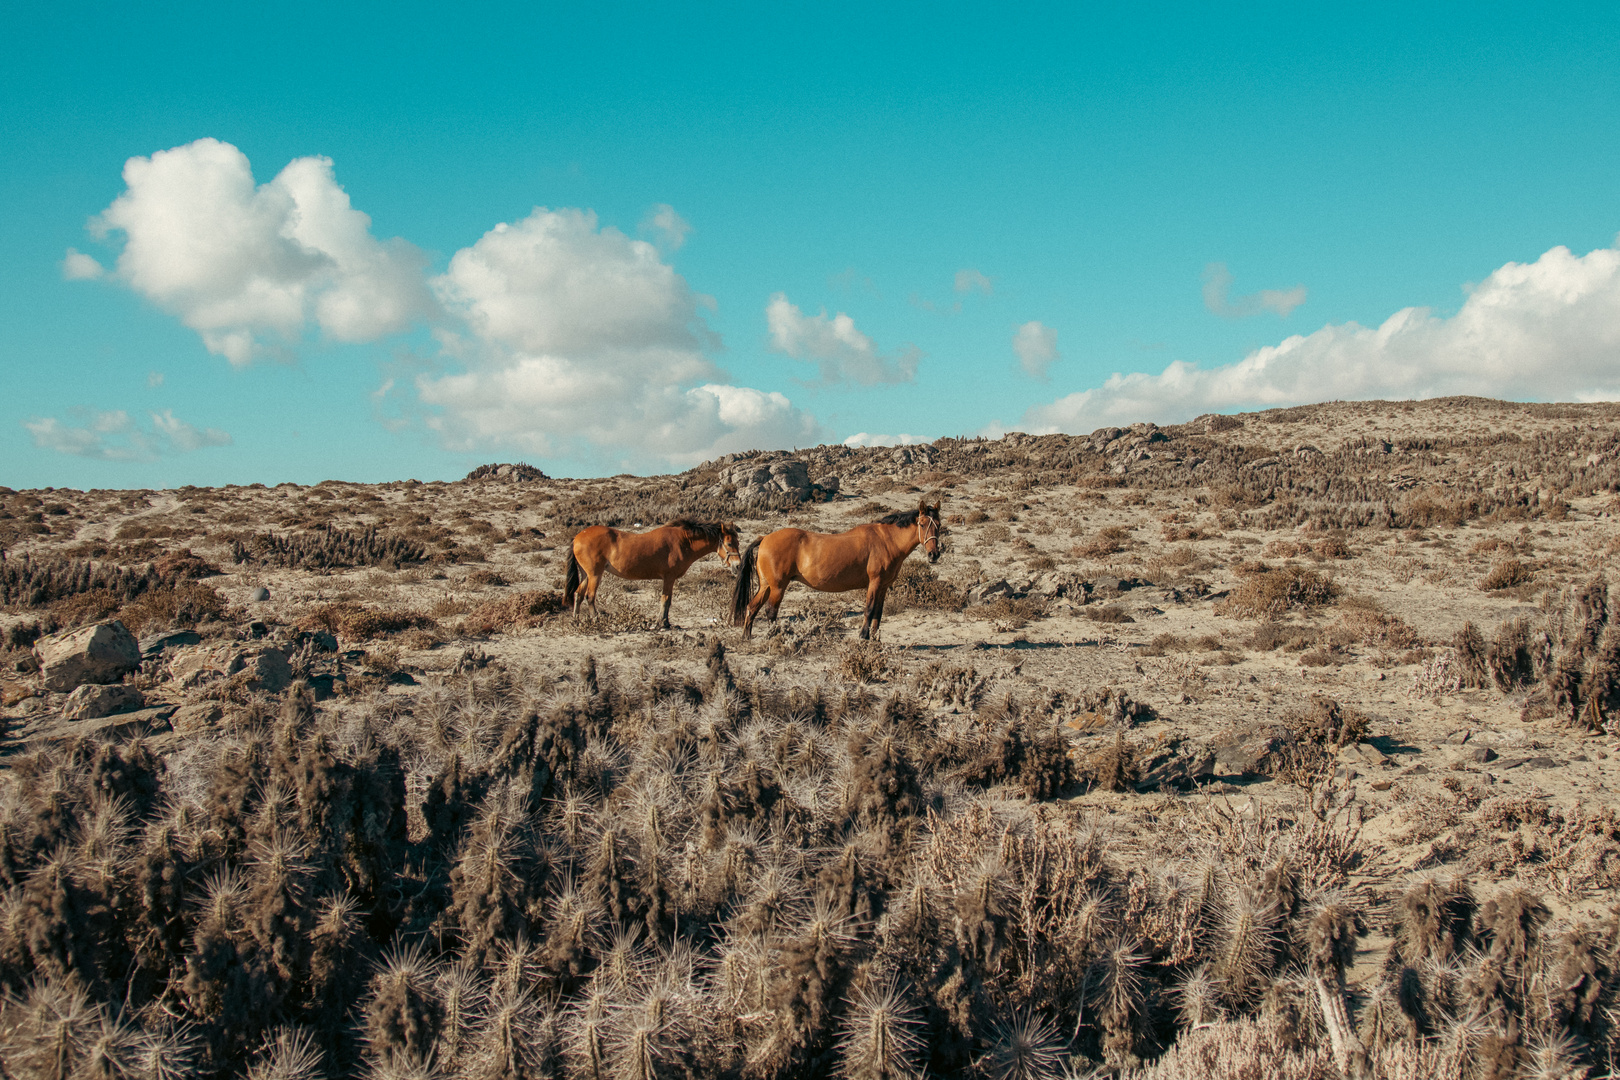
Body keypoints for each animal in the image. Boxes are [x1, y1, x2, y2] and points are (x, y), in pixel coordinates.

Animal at [567, 518, 741, 628]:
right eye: (729, 543)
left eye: (738, 542)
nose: (738, 566)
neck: (683, 542)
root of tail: (577, 537)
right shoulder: (669, 578)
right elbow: (666, 600)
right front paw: (662, 623)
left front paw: (665, 622)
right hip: (595, 574)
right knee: (590, 596)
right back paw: (596, 619)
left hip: (585, 574)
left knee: (578, 594)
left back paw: (576, 620)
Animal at [732, 501, 946, 641]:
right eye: (922, 524)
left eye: (939, 524)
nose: (934, 554)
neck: (886, 540)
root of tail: (765, 537)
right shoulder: (874, 583)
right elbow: (869, 609)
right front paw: (863, 637)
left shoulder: (884, 586)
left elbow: (878, 612)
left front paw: (876, 638)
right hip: (777, 587)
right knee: (770, 612)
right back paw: (775, 637)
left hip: (766, 586)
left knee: (752, 607)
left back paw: (746, 636)